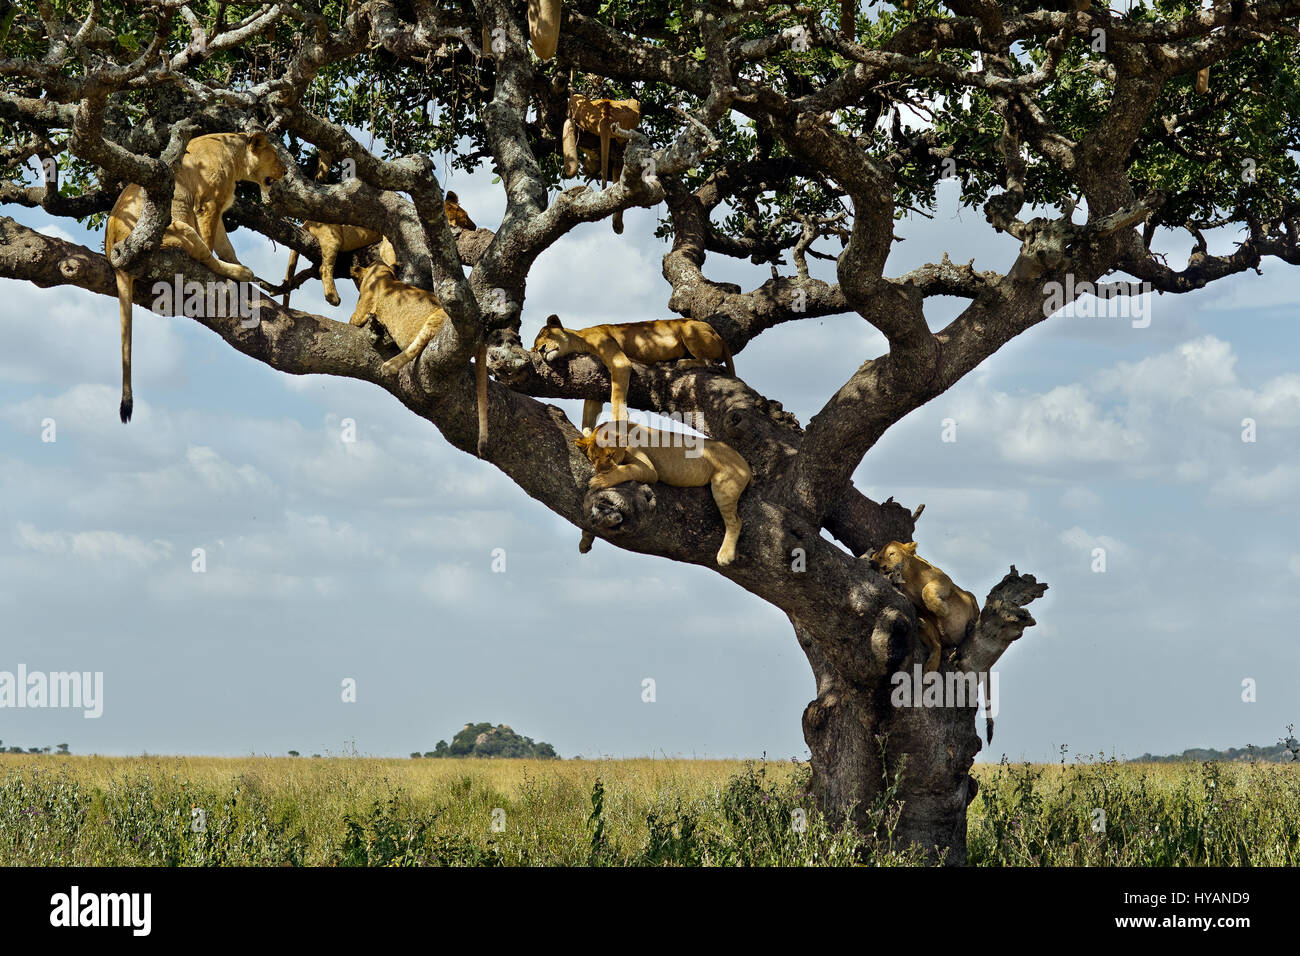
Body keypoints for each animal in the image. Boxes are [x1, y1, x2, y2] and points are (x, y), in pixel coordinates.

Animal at [105, 132, 286, 421]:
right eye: (277, 155)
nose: (286, 171)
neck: (236, 156)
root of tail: (114, 256)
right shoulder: (207, 204)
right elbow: (211, 244)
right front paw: (234, 266)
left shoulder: (220, 209)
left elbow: (226, 246)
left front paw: (236, 260)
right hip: (179, 227)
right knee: (203, 256)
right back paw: (241, 273)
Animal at [282, 193, 475, 310]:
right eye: (466, 215)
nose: (474, 226)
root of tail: (305, 223)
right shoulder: (390, 238)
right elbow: (391, 257)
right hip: (332, 234)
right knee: (324, 267)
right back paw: (332, 297)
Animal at [348, 260, 488, 457]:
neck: (386, 275)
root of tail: (481, 336)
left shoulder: (360, 312)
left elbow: (353, 319)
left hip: (436, 318)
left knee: (416, 347)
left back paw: (389, 366)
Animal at [527, 316, 733, 431]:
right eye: (536, 347)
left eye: (546, 335)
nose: (542, 349)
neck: (580, 339)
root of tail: (721, 337)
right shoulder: (594, 388)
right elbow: (588, 415)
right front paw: (585, 434)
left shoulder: (619, 361)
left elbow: (616, 394)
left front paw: (619, 419)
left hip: (688, 328)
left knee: (710, 362)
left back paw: (682, 362)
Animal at [572, 421, 754, 567]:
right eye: (593, 458)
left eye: (610, 455)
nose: (602, 470)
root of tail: (745, 463)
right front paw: (585, 542)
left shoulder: (648, 469)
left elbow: (624, 470)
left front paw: (599, 481)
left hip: (724, 486)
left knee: (735, 521)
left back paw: (725, 555)